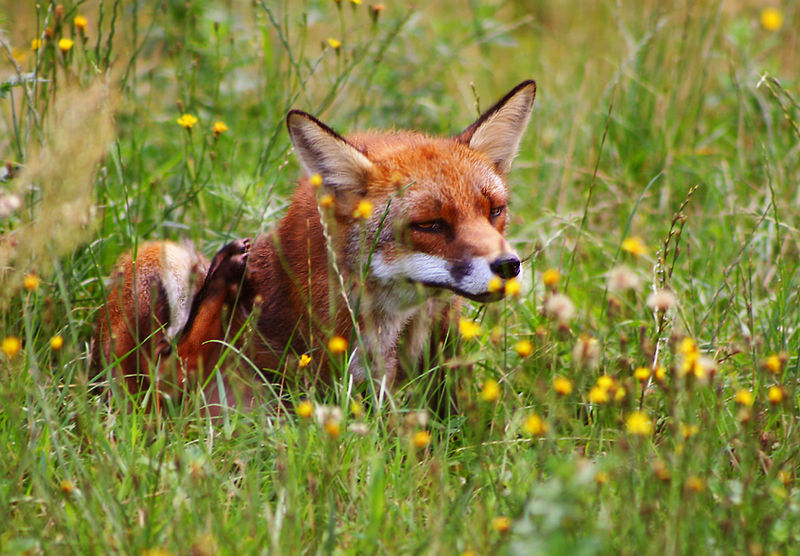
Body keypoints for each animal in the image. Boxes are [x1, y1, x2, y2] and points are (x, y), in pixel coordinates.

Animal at [97, 79, 540, 408]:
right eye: (429, 224)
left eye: (494, 211)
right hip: (158, 261)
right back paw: (222, 279)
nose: (508, 266)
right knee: (162, 387)